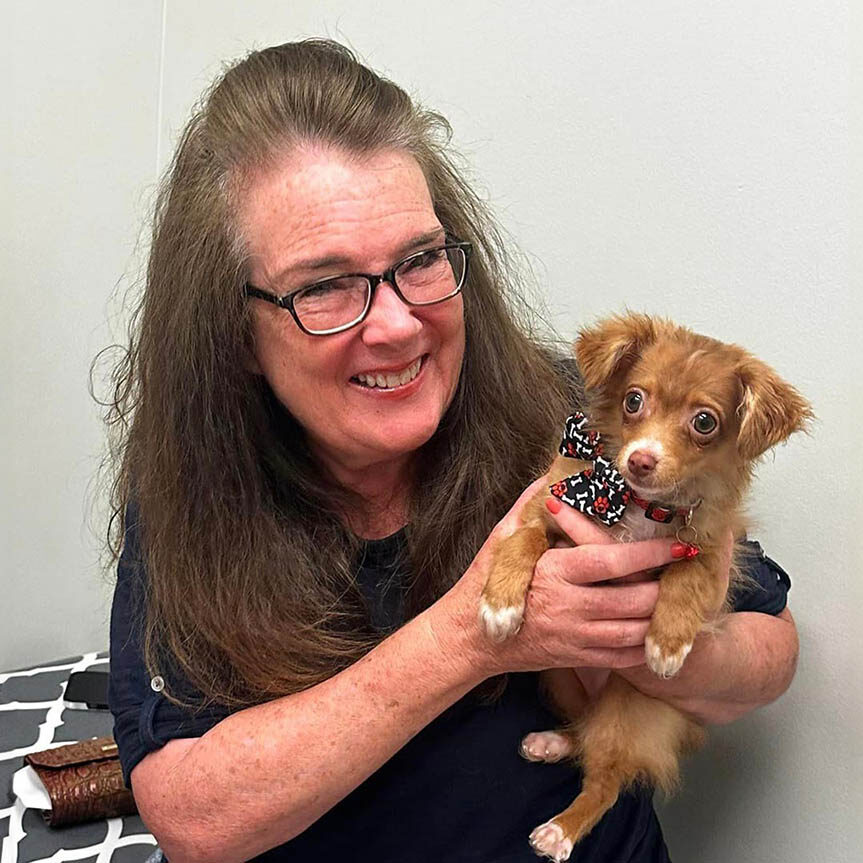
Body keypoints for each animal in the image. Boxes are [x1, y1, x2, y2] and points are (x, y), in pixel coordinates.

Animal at [480, 314, 808, 860]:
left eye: (704, 423)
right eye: (633, 400)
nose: (641, 461)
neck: (634, 503)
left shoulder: (711, 549)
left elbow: (687, 578)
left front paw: (667, 642)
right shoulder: (550, 506)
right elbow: (524, 539)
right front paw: (500, 602)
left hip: (626, 711)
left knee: (607, 782)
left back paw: (560, 830)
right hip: (559, 675)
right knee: (584, 735)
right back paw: (554, 743)